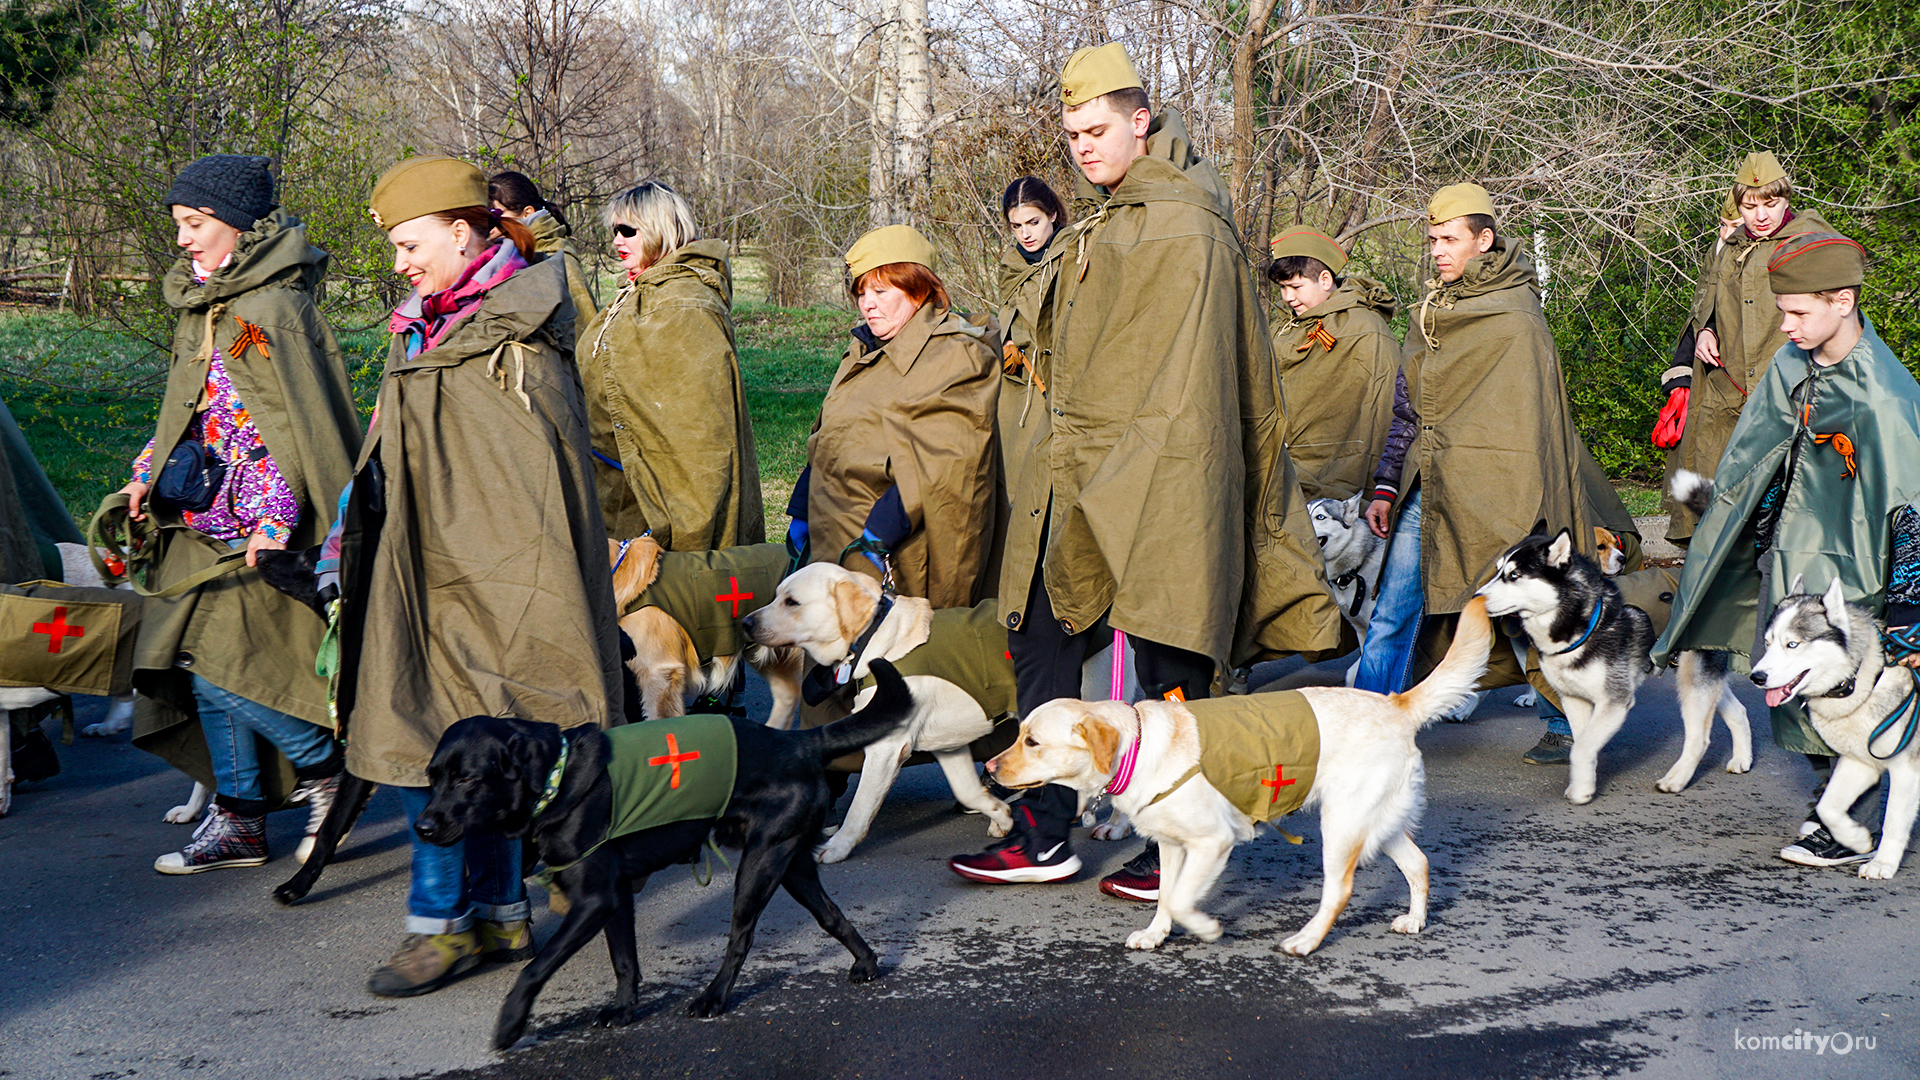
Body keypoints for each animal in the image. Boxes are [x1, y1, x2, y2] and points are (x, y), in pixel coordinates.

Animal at [983, 595, 1489, 949]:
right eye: (1019, 732)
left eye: (1032, 742)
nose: (988, 767)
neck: (1139, 748)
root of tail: (1394, 703)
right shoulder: (1171, 846)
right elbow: (1165, 895)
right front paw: (1156, 934)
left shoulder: (1213, 842)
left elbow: (1182, 898)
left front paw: (1204, 928)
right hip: (1375, 821)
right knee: (1419, 864)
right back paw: (1416, 919)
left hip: (1341, 825)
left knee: (1340, 890)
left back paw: (1306, 941)